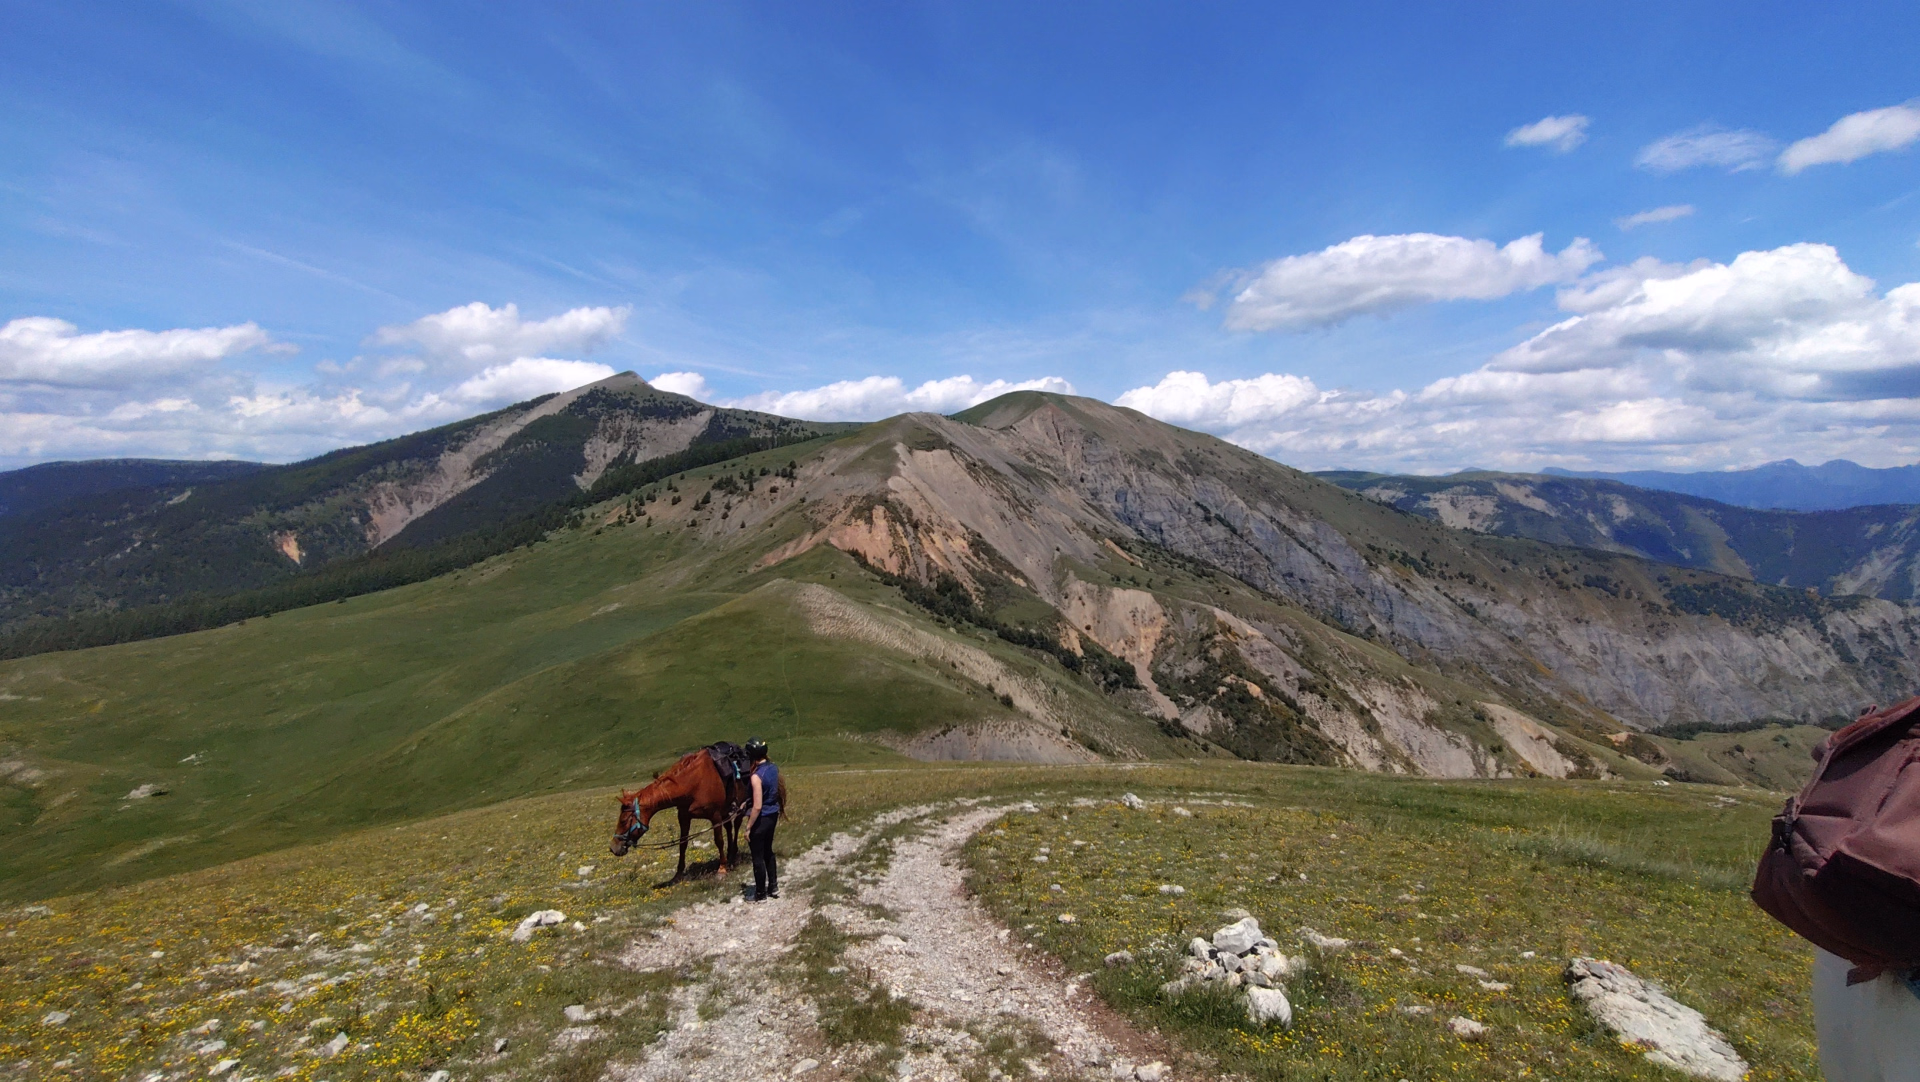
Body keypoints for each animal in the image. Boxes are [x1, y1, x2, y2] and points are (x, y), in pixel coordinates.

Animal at [608, 747, 747, 882]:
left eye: (624, 820)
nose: (613, 847)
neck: (693, 784)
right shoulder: (684, 817)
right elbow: (682, 844)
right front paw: (678, 874)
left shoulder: (715, 816)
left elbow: (719, 841)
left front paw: (722, 869)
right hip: (725, 810)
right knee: (729, 827)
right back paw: (730, 854)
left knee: (736, 825)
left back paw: (733, 853)